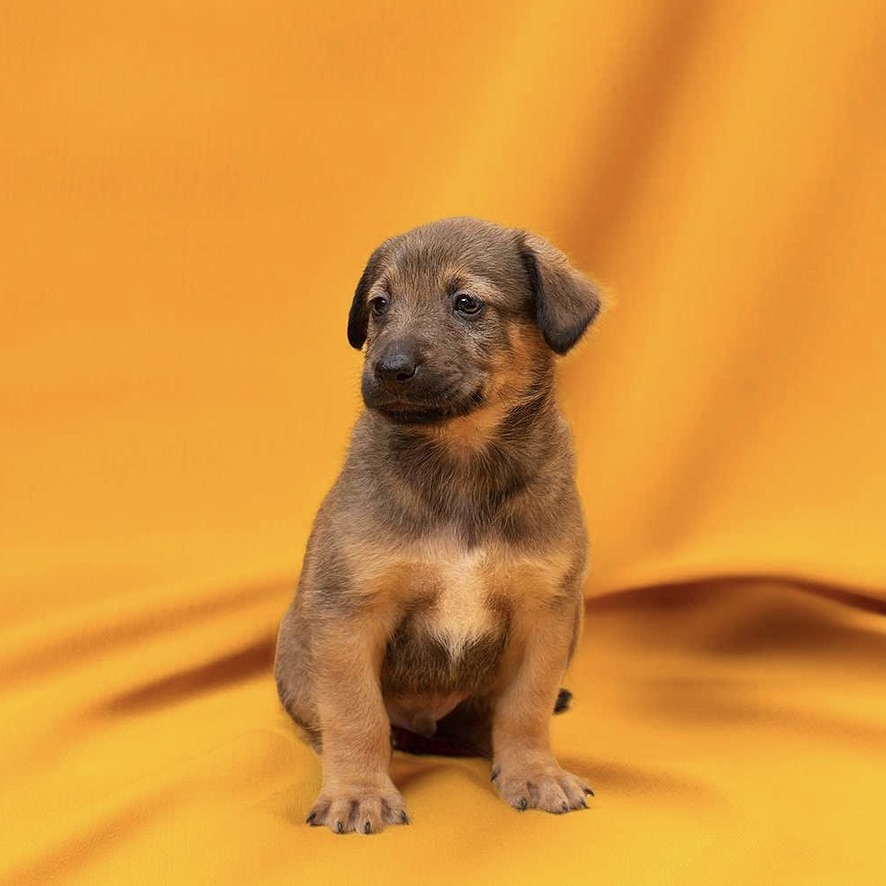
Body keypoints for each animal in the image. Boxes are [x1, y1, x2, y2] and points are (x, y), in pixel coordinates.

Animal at [272, 219, 604, 836]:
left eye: (466, 303)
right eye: (380, 305)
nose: (389, 368)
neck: (461, 464)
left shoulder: (546, 614)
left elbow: (526, 708)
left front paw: (534, 774)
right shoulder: (350, 613)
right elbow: (355, 714)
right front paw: (358, 793)